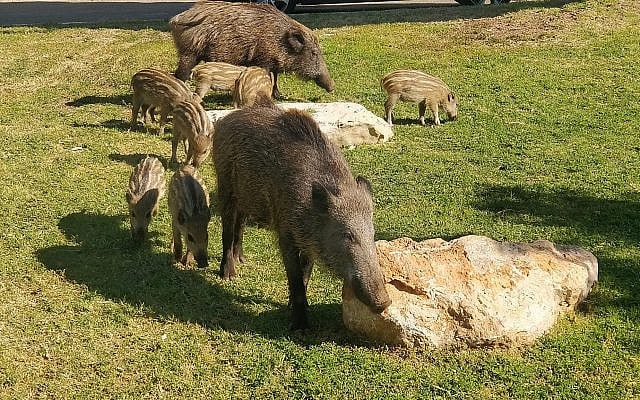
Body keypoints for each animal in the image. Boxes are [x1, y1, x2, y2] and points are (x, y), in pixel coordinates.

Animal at [169, 1, 335, 98]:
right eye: (314, 53)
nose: (332, 87)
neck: (279, 40)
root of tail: (177, 18)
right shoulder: (263, 60)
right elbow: (269, 77)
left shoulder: (273, 62)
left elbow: (275, 78)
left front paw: (280, 96)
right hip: (189, 52)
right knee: (180, 74)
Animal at [212, 104, 391, 330]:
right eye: (347, 235)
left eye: (372, 234)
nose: (384, 302)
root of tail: (226, 119)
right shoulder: (286, 233)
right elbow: (295, 277)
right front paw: (300, 326)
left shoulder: (309, 242)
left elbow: (306, 273)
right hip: (225, 184)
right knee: (227, 229)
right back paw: (229, 275)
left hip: (246, 196)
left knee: (240, 224)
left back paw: (241, 259)